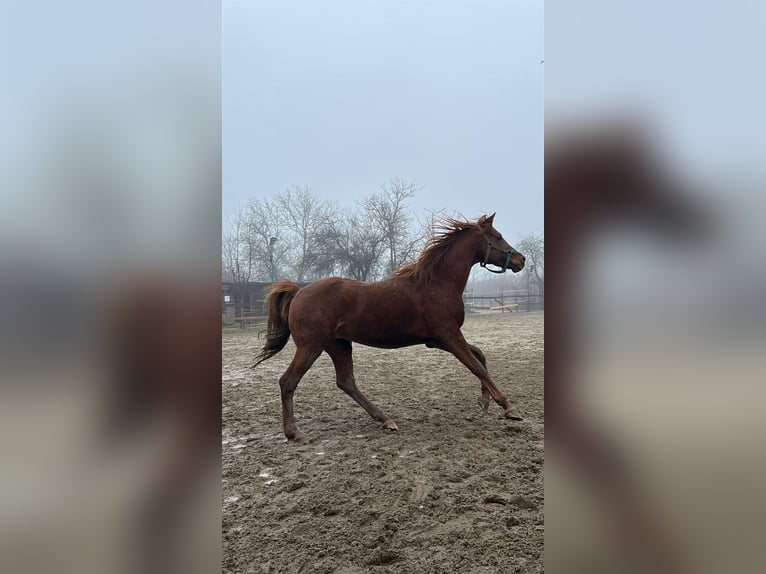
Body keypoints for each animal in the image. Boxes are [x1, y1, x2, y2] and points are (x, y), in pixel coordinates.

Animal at [253, 213, 526, 442]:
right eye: (497, 236)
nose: (521, 260)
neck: (437, 283)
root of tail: (299, 292)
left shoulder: (439, 340)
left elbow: (480, 356)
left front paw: (484, 401)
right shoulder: (449, 336)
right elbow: (477, 366)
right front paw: (509, 407)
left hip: (338, 345)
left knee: (346, 382)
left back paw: (385, 420)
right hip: (311, 346)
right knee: (288, 381)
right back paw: (294, 433)